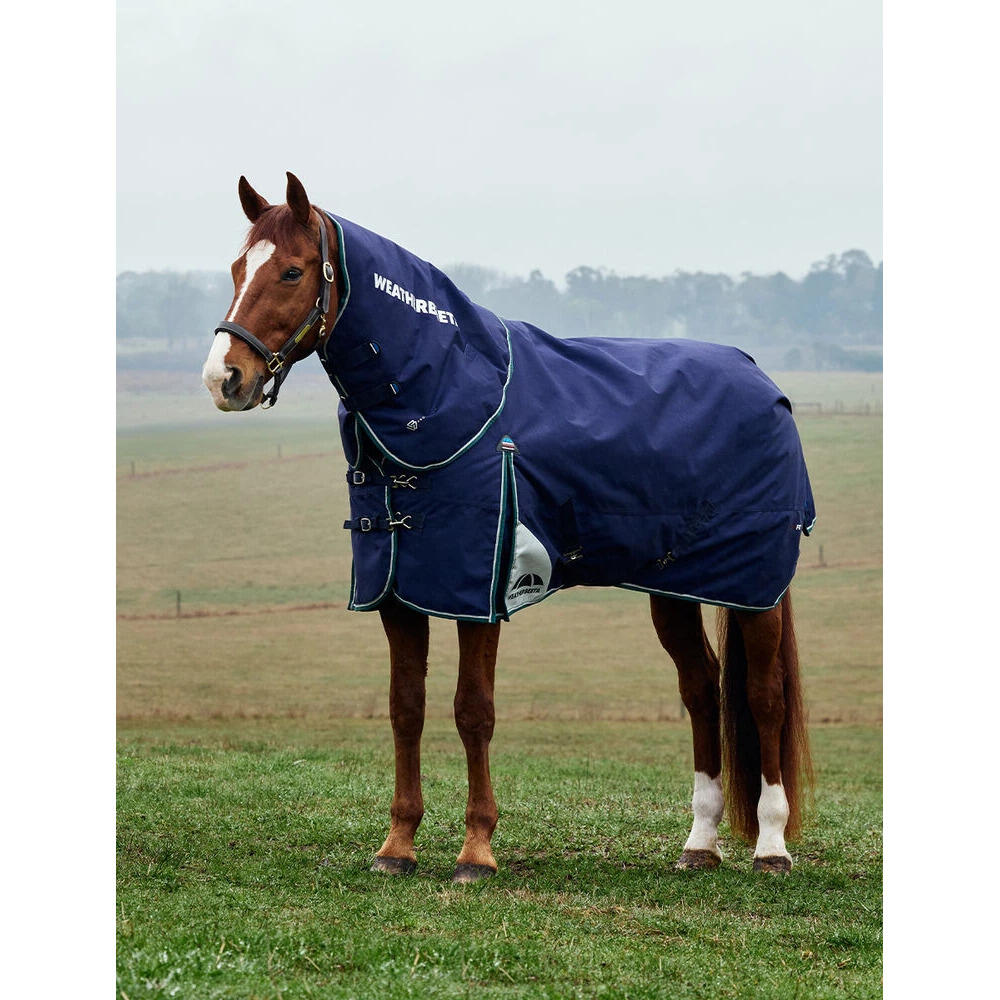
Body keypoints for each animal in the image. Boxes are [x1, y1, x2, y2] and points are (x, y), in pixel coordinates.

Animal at [202, 172, 814, 882]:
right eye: (238, 268)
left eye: (293, 271)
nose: (224, 378)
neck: (452, 395)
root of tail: (763, 381)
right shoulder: (399, 592)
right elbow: (405, 708)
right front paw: (397, 846)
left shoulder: (478, 592)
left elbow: (474, 711)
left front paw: (476, 851)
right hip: (675, 588)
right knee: (701, 689)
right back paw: (701, 842)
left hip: (754, 590)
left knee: (764, 695)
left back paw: (770, 846)